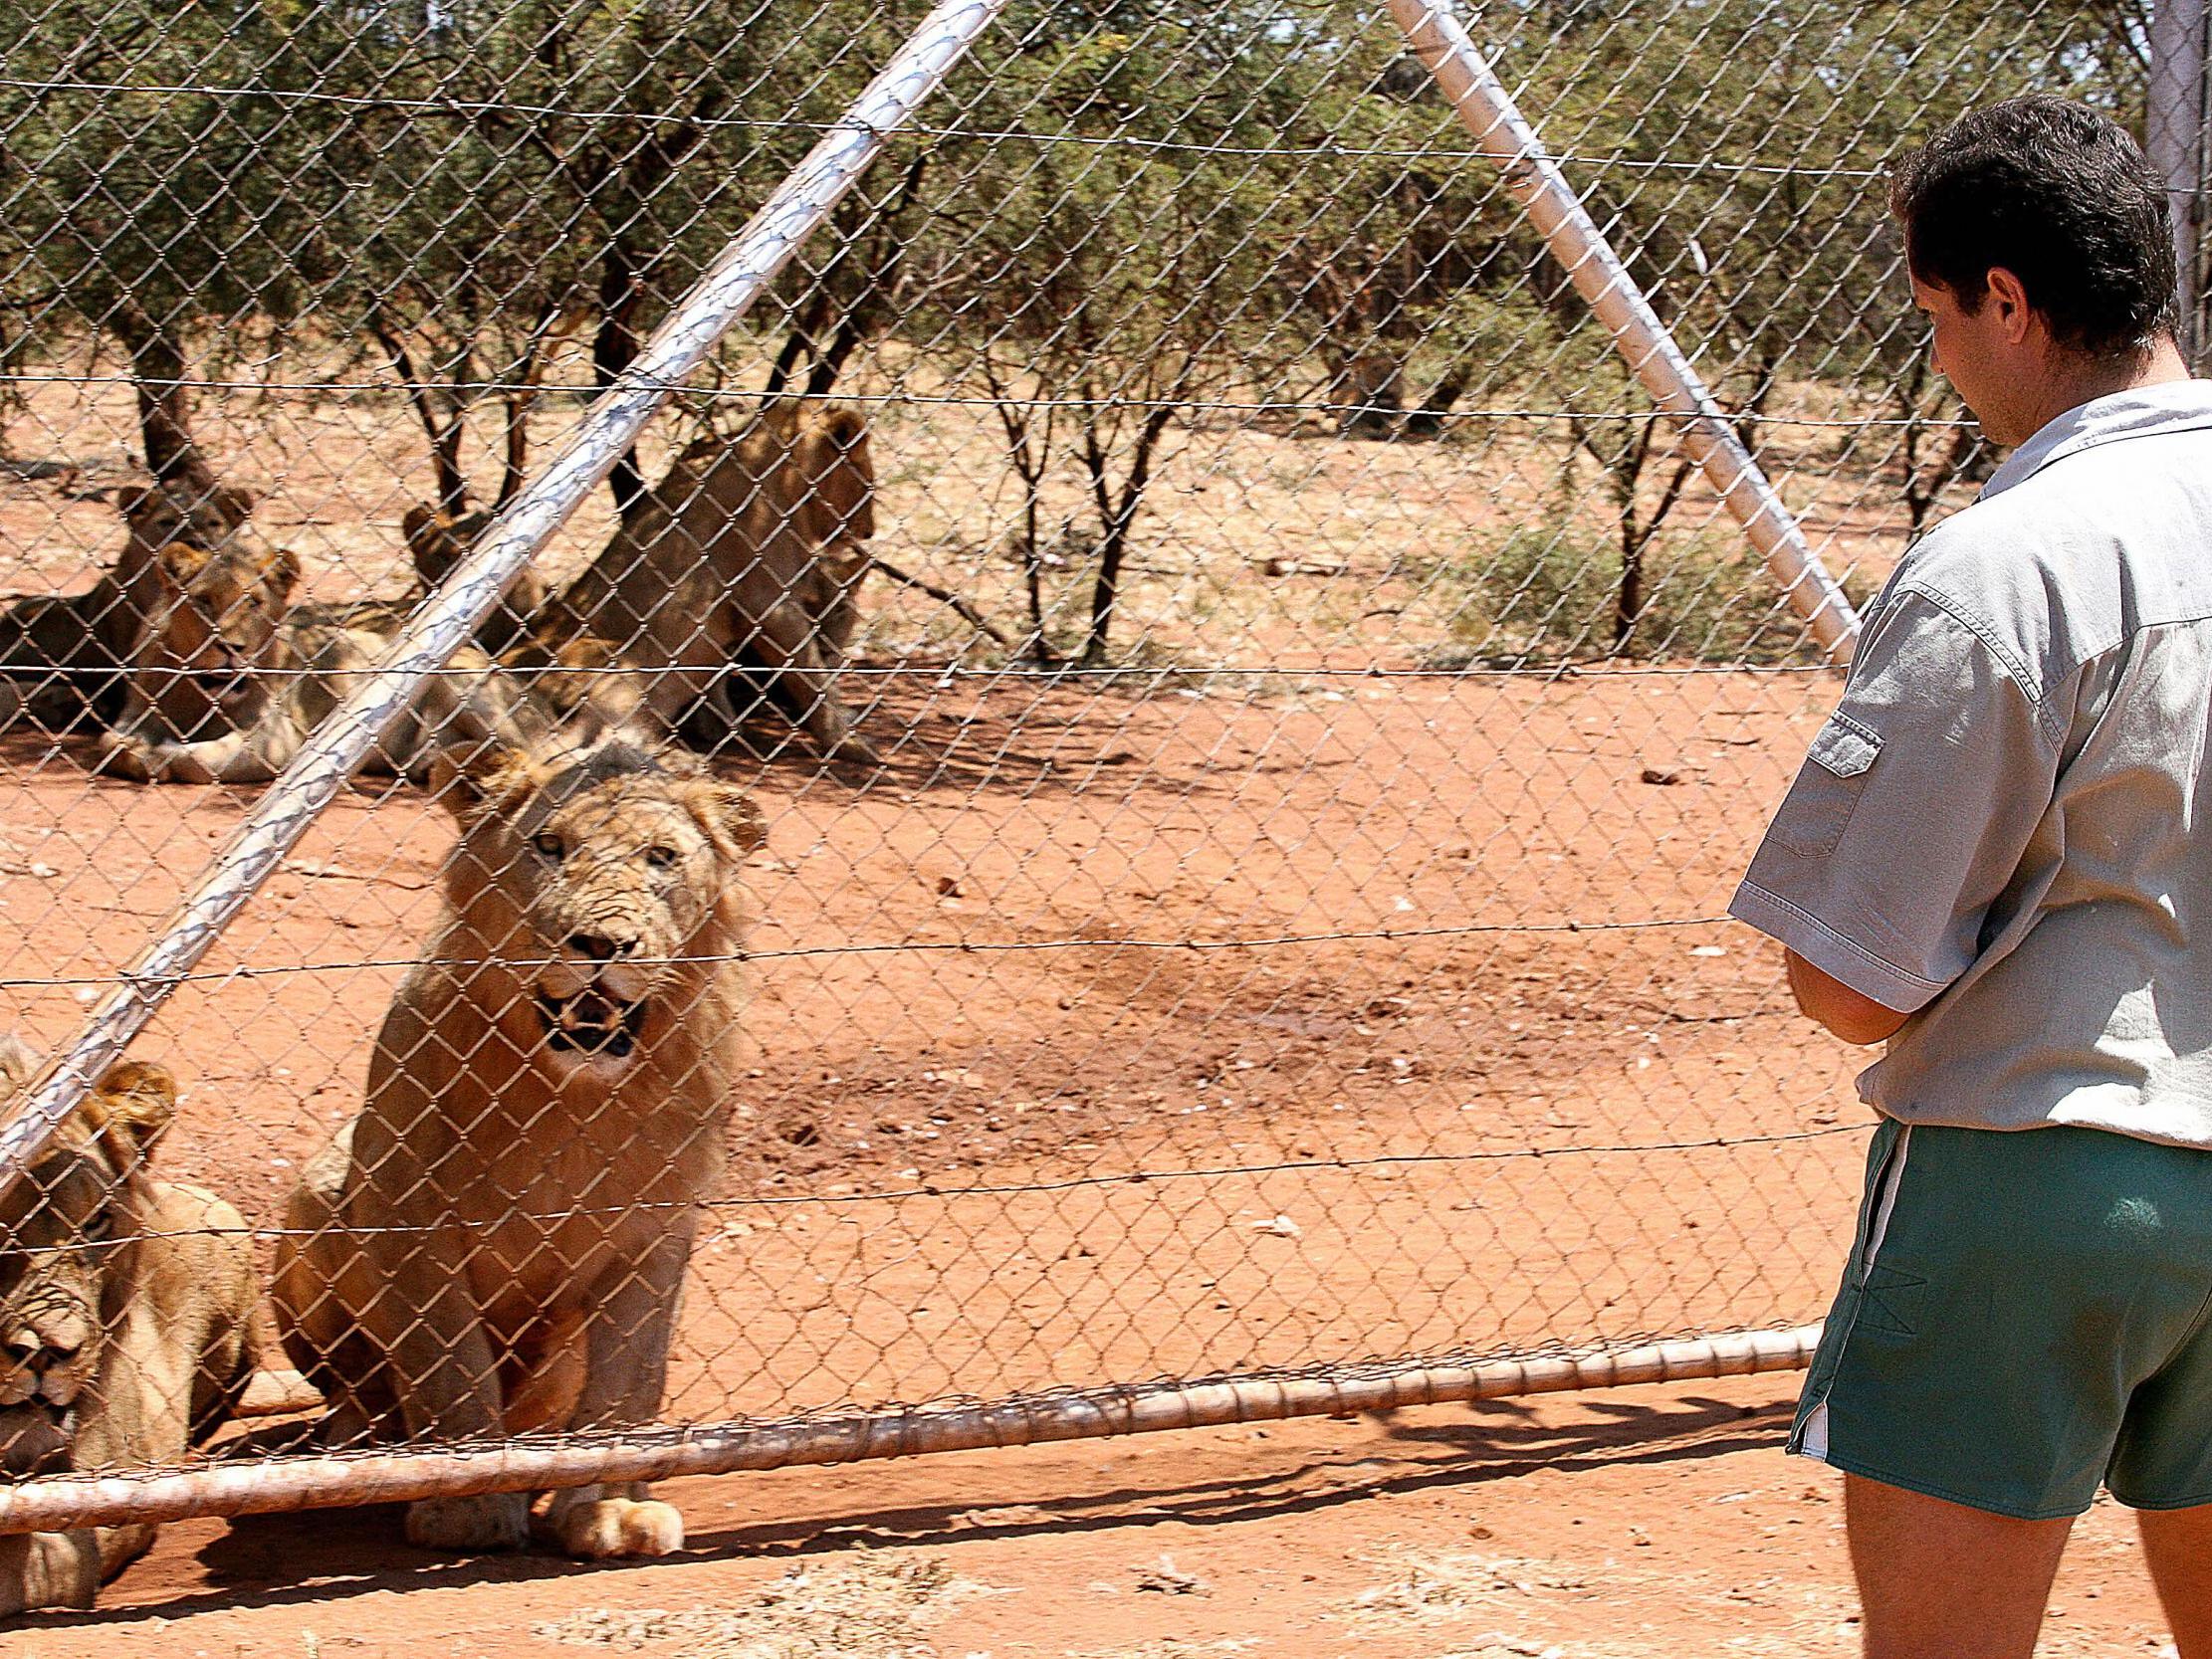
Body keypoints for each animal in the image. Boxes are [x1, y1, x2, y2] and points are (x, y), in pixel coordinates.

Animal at [270, 729, 761, 1556]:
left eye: (661, 856)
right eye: (549, 844)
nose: (602, 942)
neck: (574, 1095)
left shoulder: (655, 1231)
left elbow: (628, 1385)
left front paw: (609, 1508)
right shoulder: (412, 1215)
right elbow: (451, 1371)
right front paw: (467, 1504)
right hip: (320, 1190)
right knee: (355, 1386)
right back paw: (361, 1443)